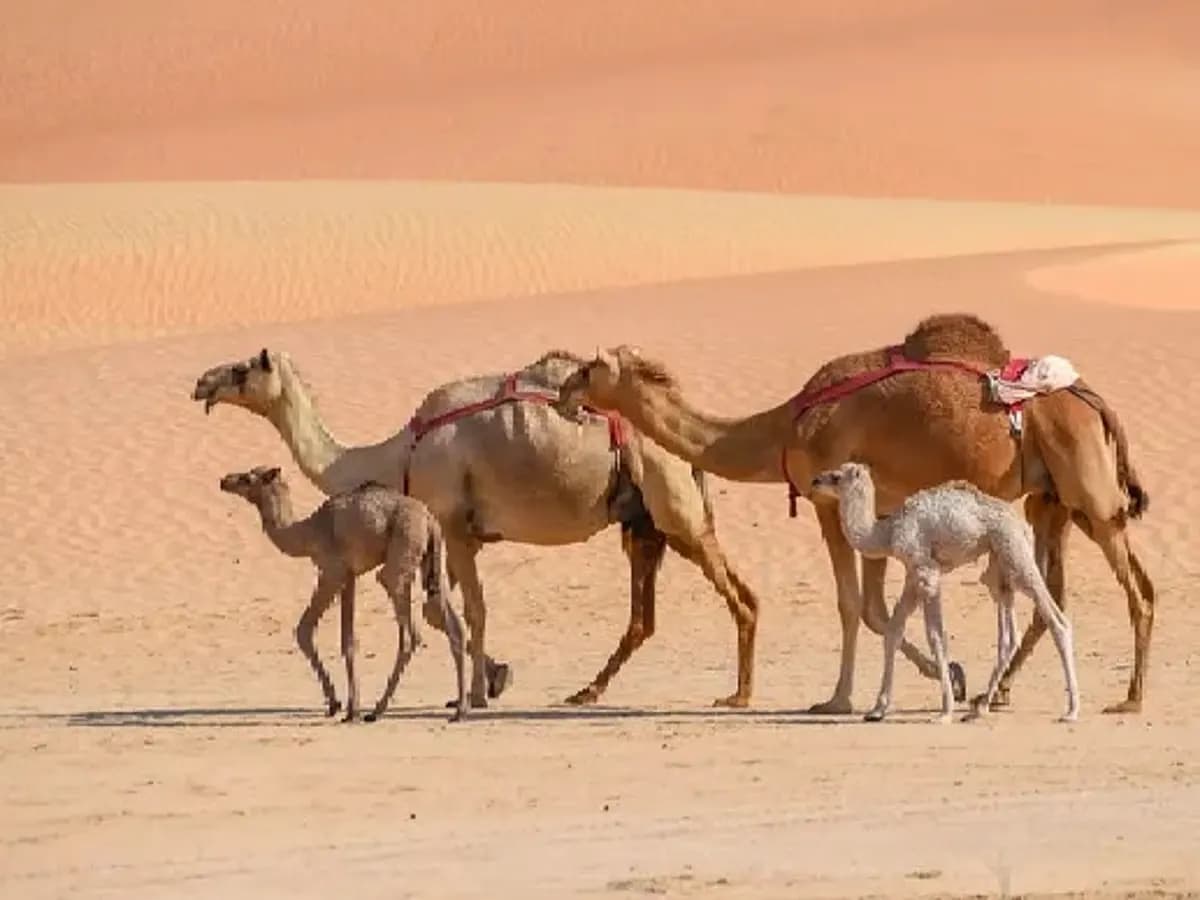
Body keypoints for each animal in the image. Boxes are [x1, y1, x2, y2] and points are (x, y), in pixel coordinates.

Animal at [220, 465, 469, 722]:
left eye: (248, 478)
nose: (224, 481)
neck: (308, 533)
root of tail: (429, 519)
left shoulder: (332, 572)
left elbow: (304, 631)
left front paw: (337, 705)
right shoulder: (350, 577)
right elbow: (348, 640)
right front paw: (351, 707)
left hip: (402, 550)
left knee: (410, 632)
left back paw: (378, 710)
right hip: (433, 560)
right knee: (453, 625)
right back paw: (459, 710)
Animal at [811, 462, 1080, 724]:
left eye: (836, 477)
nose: (815, 481)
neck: (887, 532)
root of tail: (1021, 525)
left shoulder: (927, 571)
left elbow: (936, 636)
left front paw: (945, 711)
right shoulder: (913, 575)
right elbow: (893, 631)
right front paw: (877, 709)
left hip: (1015, 554)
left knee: (1057, 620)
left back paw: (1071, 711)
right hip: (1000, 568)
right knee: (1008, 636)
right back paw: (979, 708)